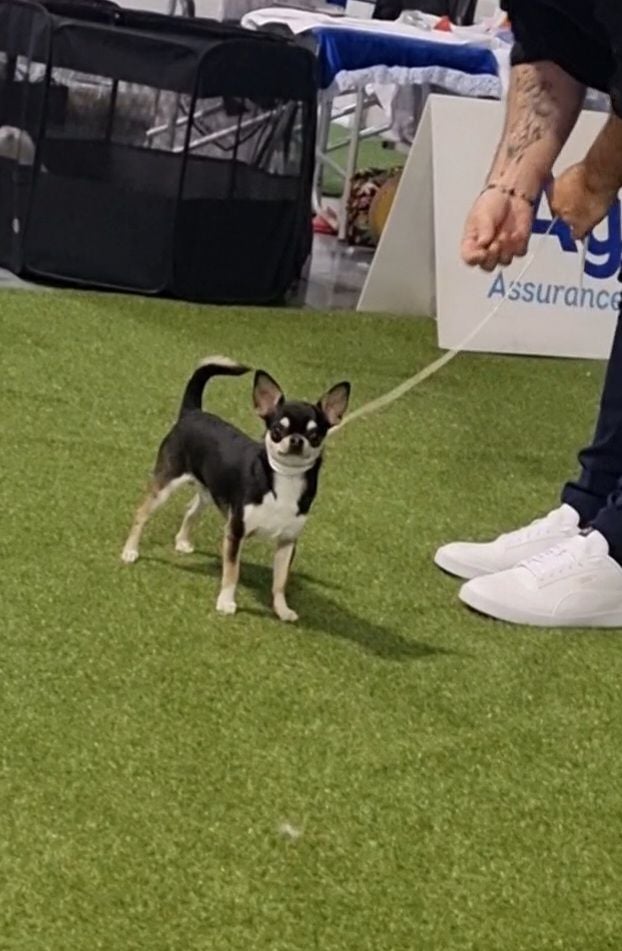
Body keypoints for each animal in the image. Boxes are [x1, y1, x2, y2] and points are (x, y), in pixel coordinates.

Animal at [121, 356, 350, 622]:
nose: (295, 440)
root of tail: (192, 412)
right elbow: (232, 571)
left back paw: (182, 540)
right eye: (277, 430)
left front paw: (282, 609)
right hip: (166, 485)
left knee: (191, 509)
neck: (284, 478)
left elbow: (280, 581)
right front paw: (226, 602)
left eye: (315, 435)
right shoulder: (235, 531)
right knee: (142, 513)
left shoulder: (287, 540)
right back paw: (130, 551)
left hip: (209, 491)